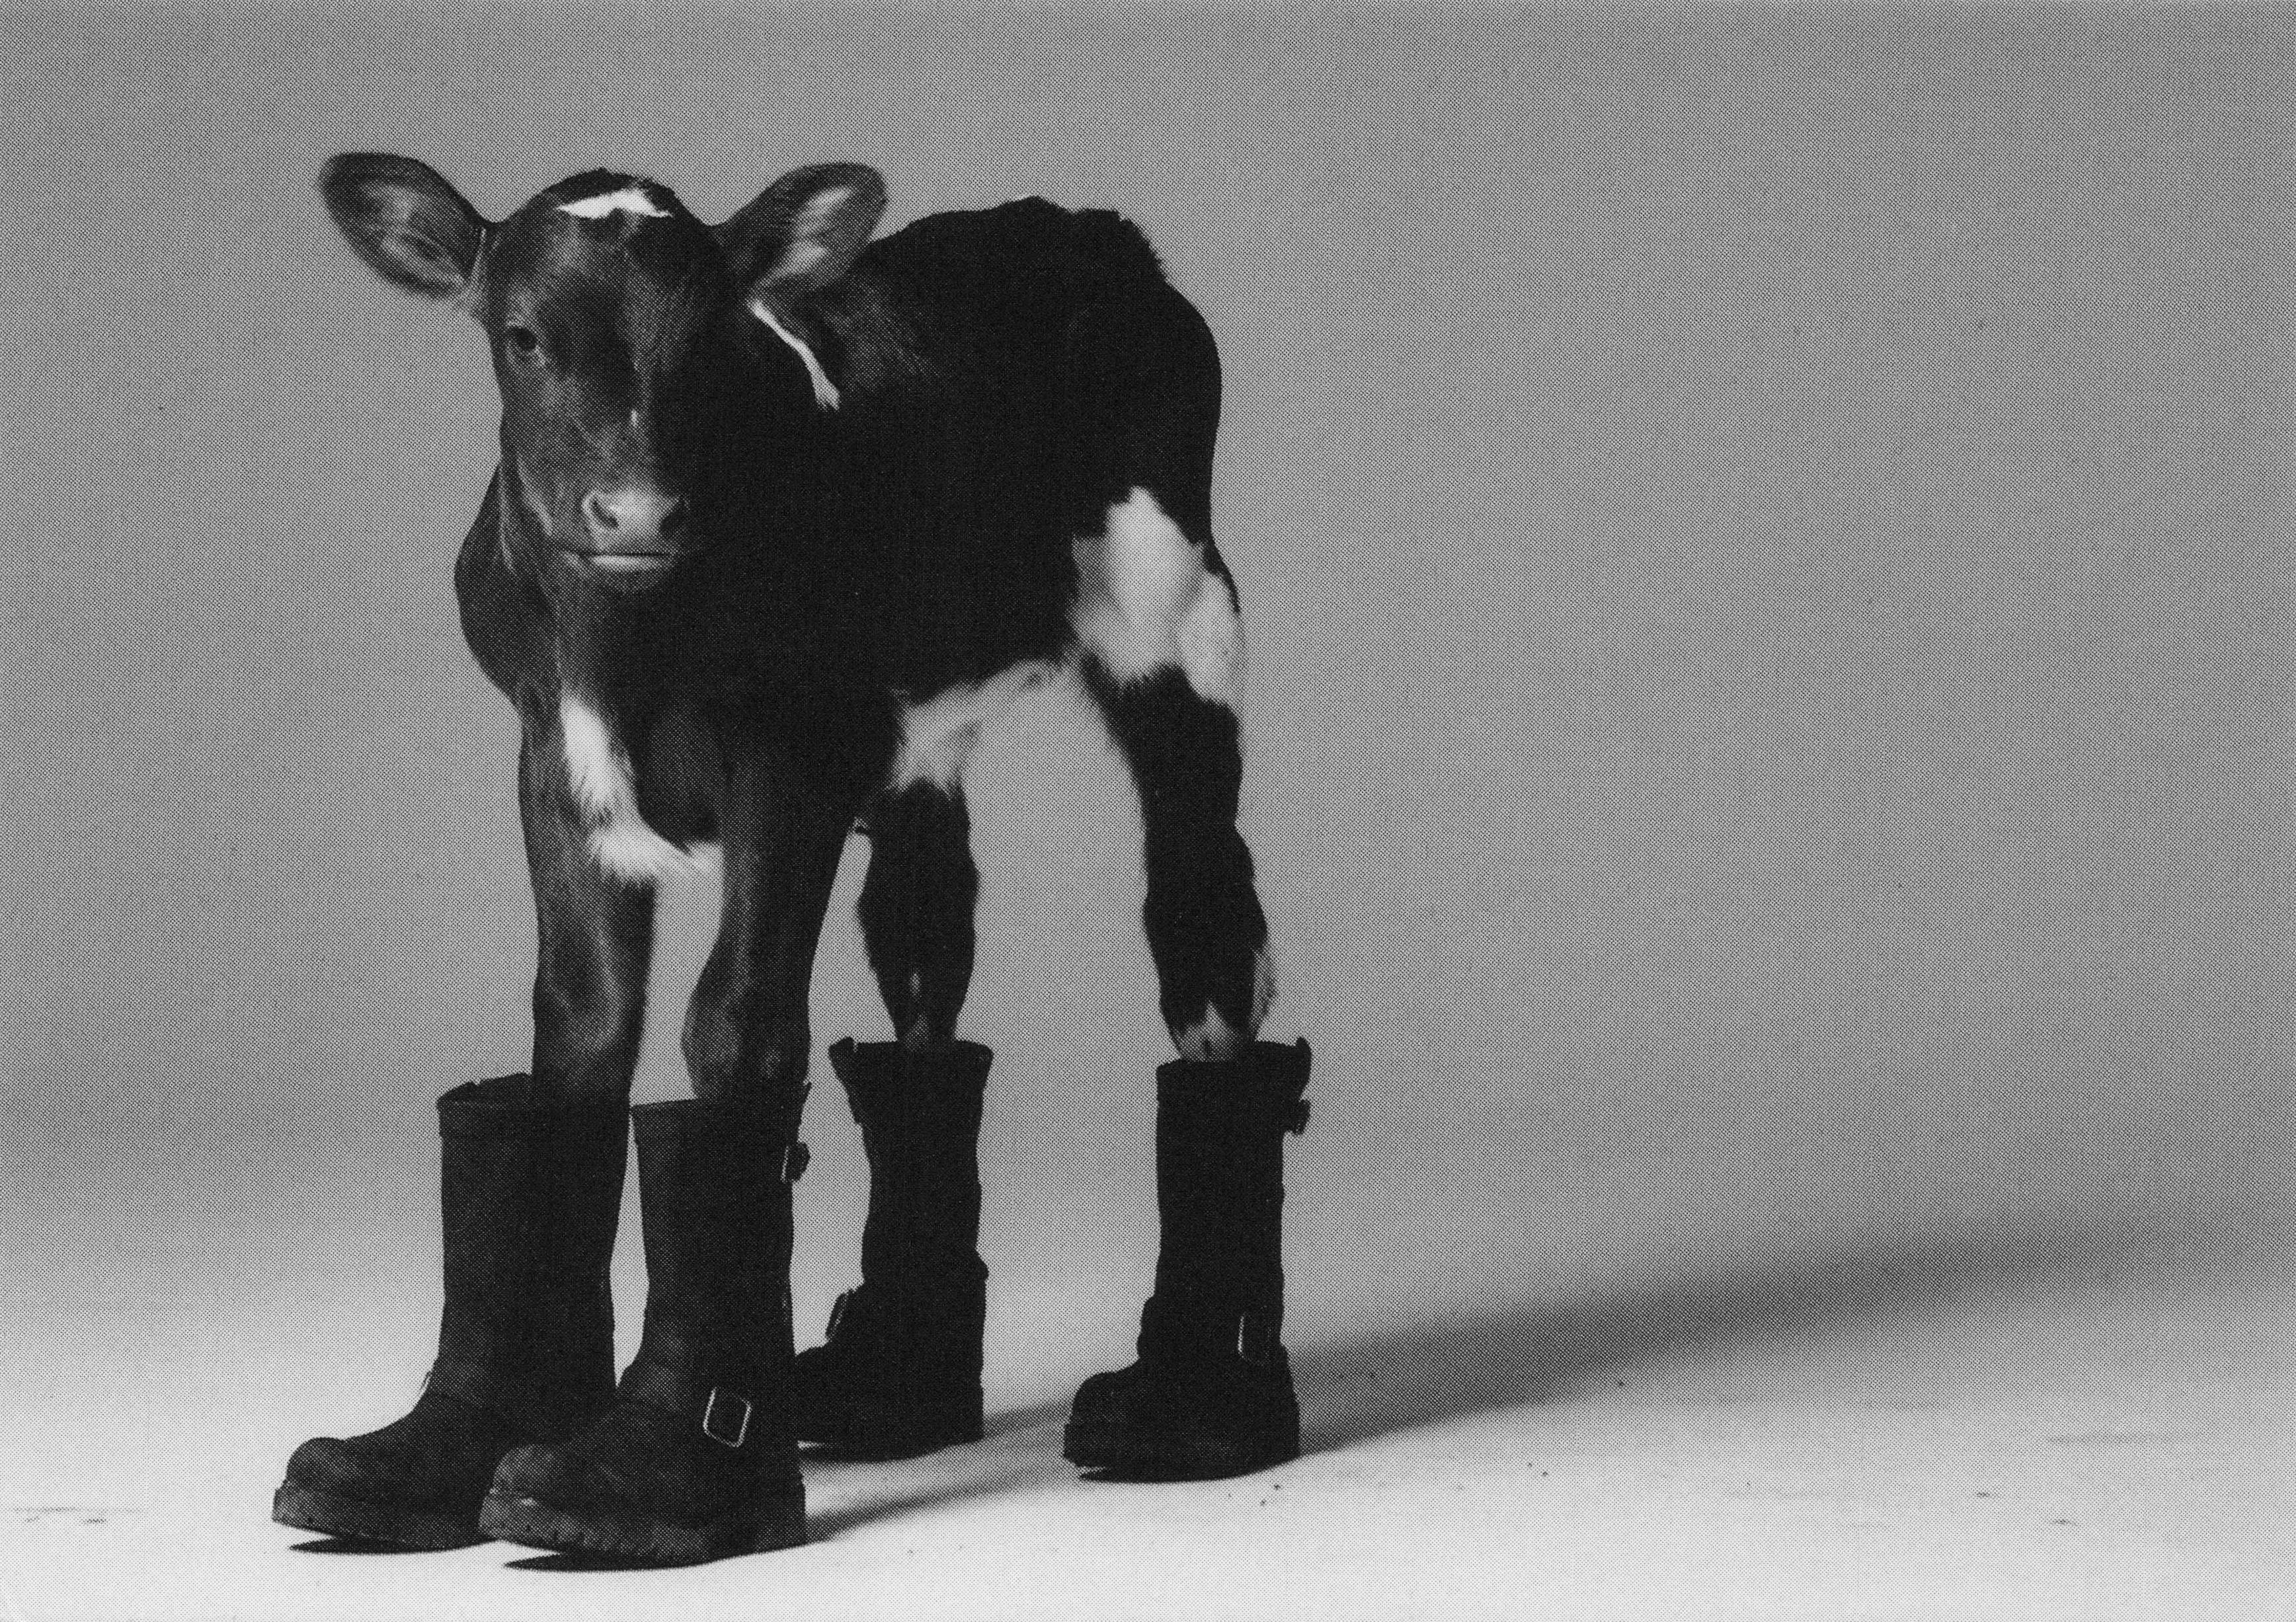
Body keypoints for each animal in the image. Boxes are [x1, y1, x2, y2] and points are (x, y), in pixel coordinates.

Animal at [273, 156, 1311, 1566]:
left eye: (712, 340)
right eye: (524, 334)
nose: (636, 508)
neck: (625, 644)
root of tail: (1081, 229)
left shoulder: (792, 761)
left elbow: (736, 1024)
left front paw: (674, 1468)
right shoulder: (549, 760)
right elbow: (579, 1027)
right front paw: (457, 1444)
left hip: (1181, 623)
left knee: (1203, 930)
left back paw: (1198, 1400)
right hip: (925, 737)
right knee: (926, 963)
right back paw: (894, 1379)